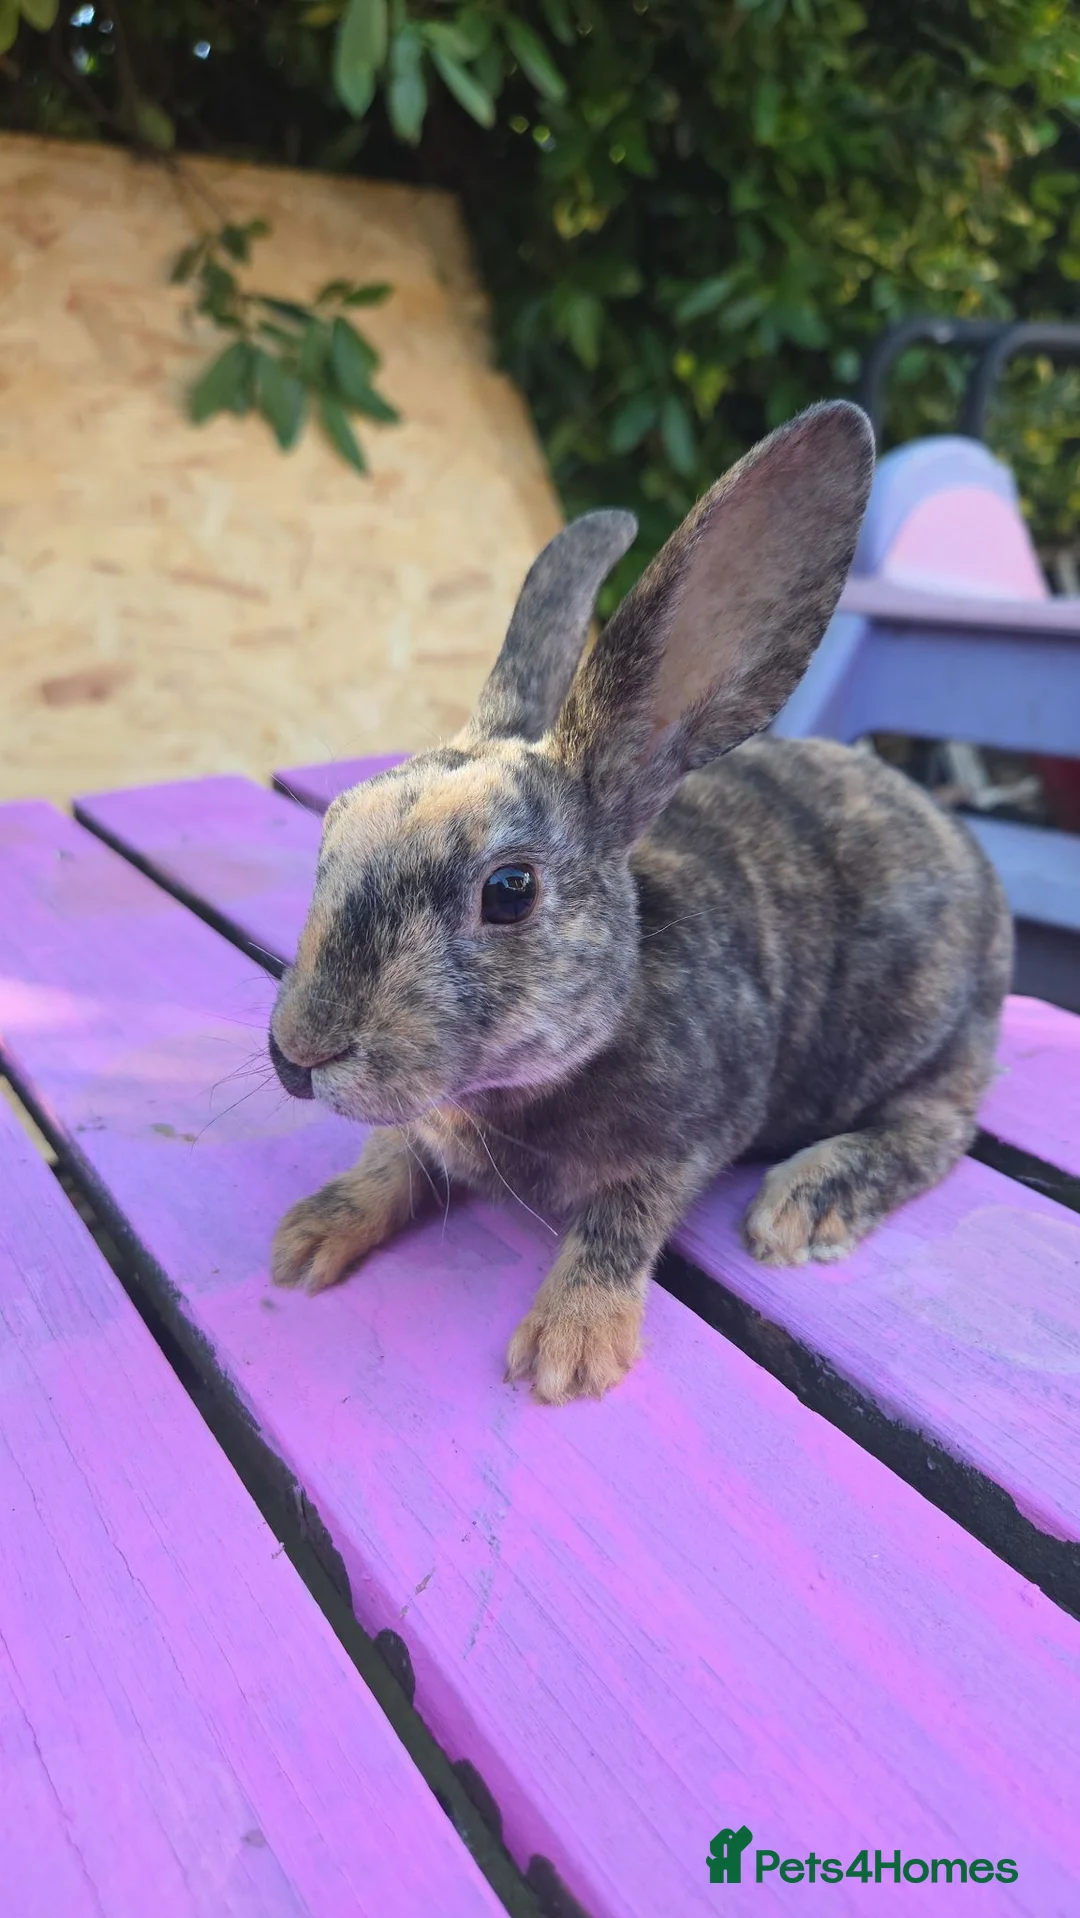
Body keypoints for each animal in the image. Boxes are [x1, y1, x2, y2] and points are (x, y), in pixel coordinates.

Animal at [268, 400, 1012, 1404]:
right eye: (332, 830)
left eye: (509, 892)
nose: (298, 1054)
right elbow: (391, 1159)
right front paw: (309, 1236)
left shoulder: (691, 1135)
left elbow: (620, 1222)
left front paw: (570, 1349)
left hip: (937, 1037)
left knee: (937, 1129)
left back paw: (805, 1203)